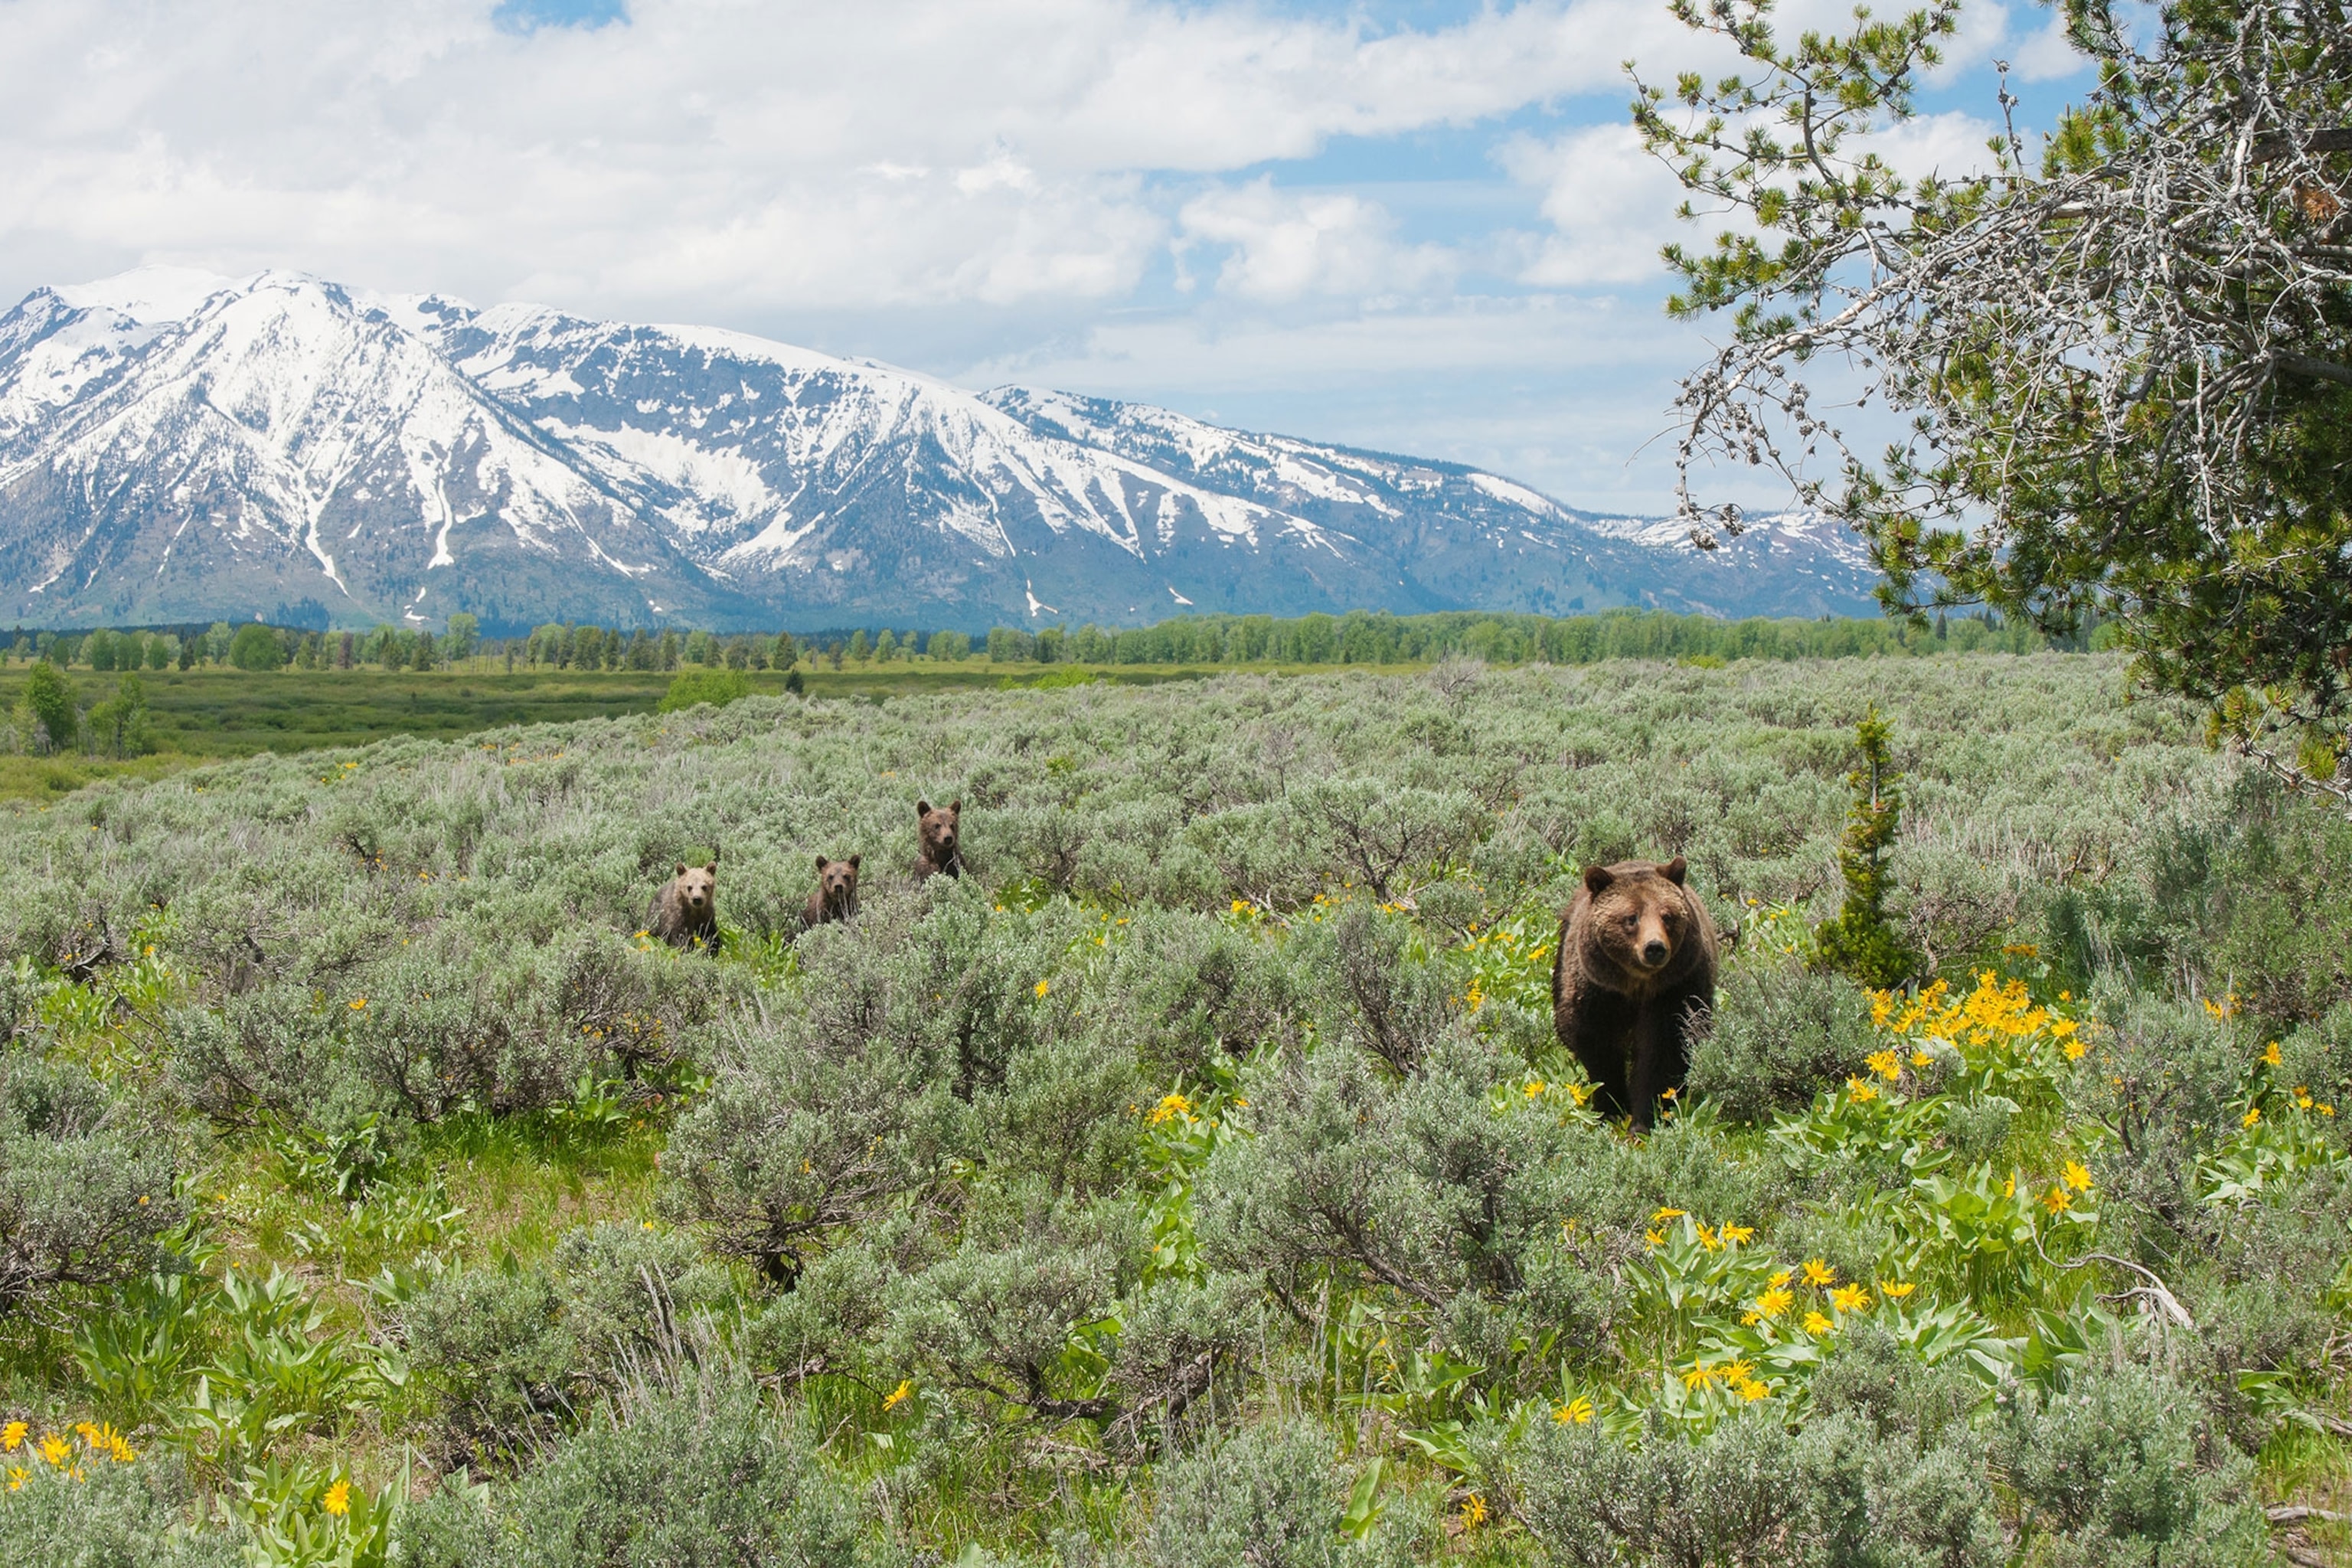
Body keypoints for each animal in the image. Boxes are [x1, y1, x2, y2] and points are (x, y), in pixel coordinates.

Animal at [1550, 855, 1719, 1130]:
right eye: (1631, 917)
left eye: (1667, 916)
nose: (1655, 948)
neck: (1636, 985)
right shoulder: (1598, 992)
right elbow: (1599, 1050)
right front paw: (1611, 1108)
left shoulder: (1675, 990)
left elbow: (1663, 1052)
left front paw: (1645, 1119)